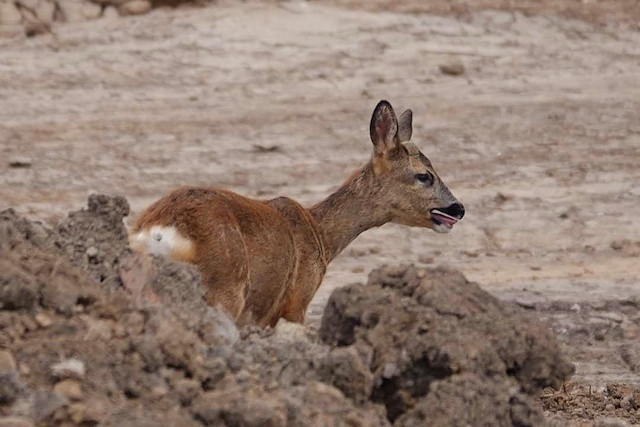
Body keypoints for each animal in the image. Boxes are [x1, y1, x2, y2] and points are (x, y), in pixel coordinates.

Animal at [129, 100, 464, 328]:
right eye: (424, 176)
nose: (458, 208)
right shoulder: (296, 303)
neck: (320, 235)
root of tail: (160, 231)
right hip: (224, 288)